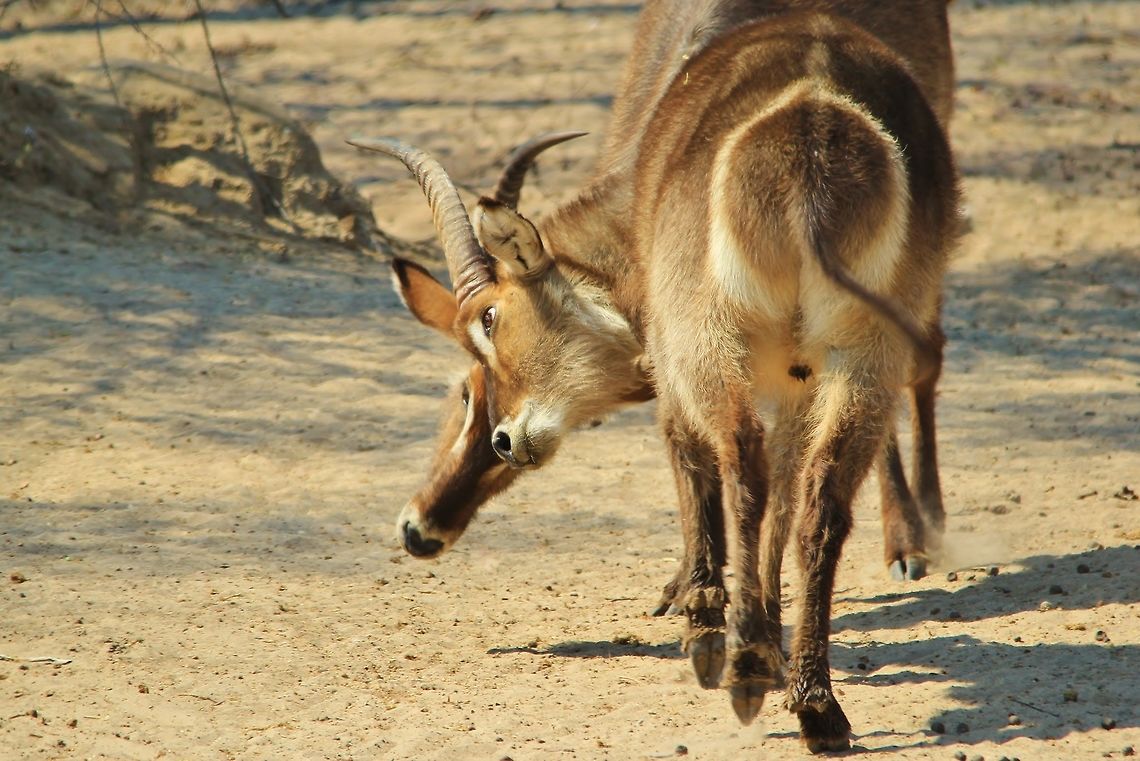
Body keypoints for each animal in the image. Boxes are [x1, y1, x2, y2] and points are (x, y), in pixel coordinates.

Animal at [361, 2, 961, 751]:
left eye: (489, 323)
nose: (417, 528)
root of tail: (813, 123)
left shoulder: (673, 348)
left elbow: (690, 453)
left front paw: (708, 616)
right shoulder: (793, 378)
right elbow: (786, 497)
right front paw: (758, 627)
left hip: (711, 339)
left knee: (745, 456)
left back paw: (748, 652)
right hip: (860, 350)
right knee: (823, 490)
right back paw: (816, 698)